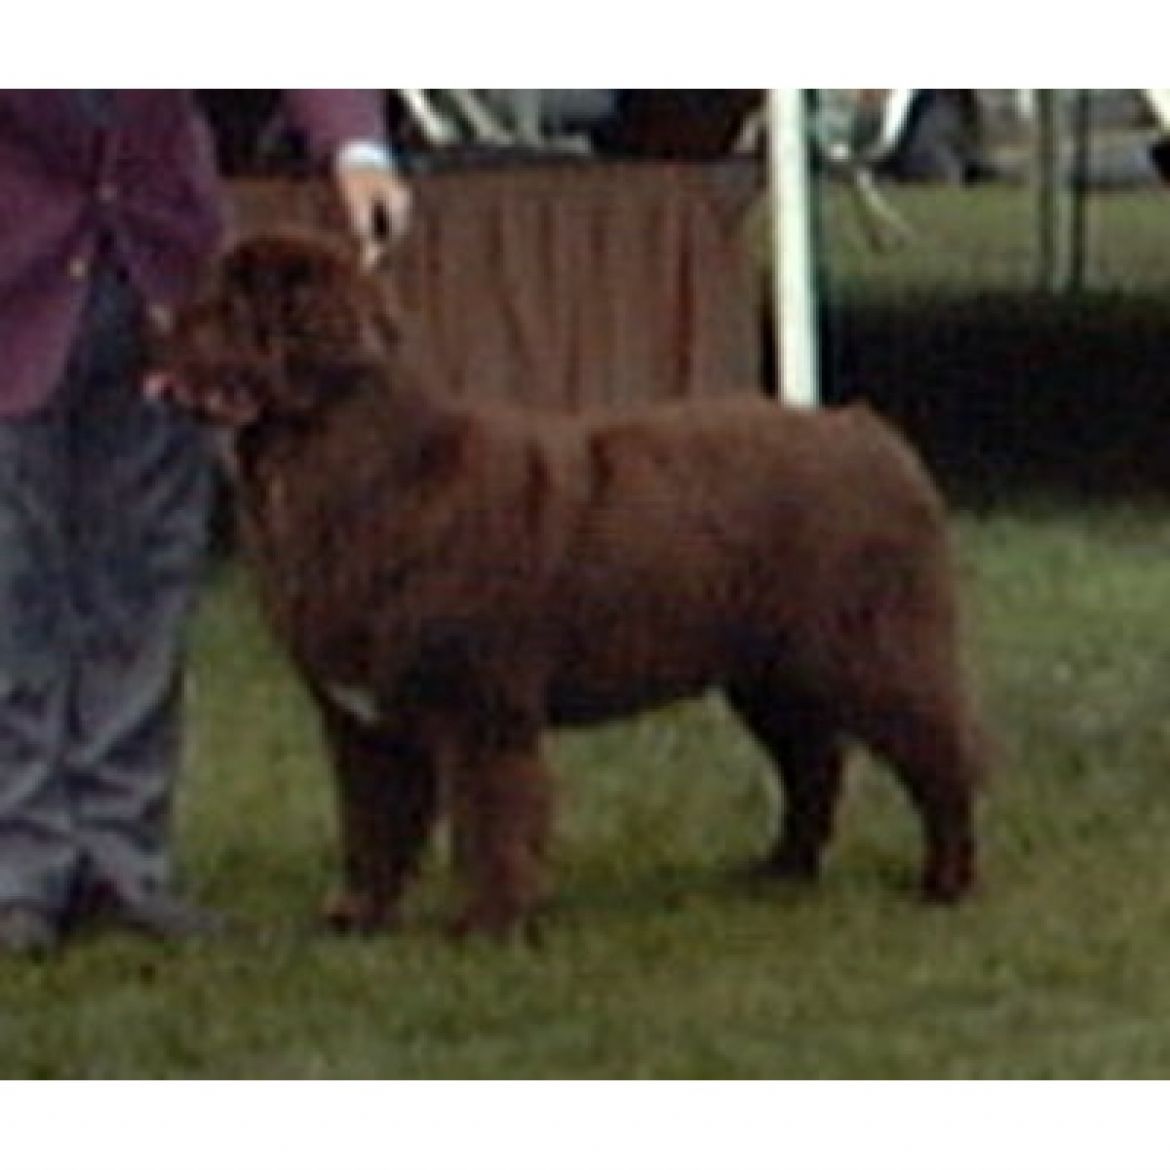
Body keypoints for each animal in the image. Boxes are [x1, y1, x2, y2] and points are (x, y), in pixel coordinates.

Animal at [158, 228, 986, 938]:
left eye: (232, 309)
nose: (160, 316)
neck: (353, 470)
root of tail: (869, 431)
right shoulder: (361, 718)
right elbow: (372, 820)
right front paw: (356, 919)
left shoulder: (480, 701)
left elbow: (490, 819)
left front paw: (490, 928)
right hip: (771, 673)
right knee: (814, 764)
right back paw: (779, 873)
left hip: (869, 650)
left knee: (940, 756)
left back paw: (945, 884)